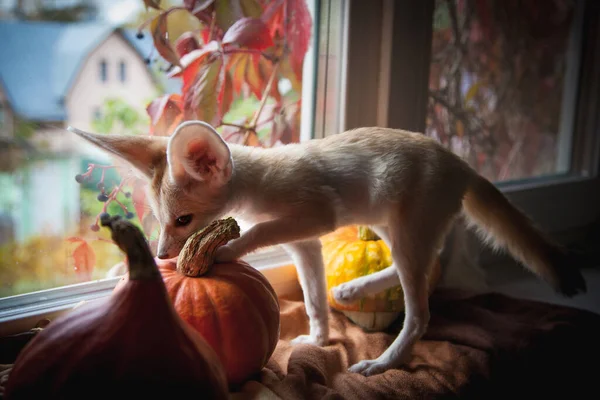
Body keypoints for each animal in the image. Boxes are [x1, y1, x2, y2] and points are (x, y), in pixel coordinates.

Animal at [69, 120, 584, 376]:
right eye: (162, 222)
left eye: (183, 221)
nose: (161, 257)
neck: (261, 183)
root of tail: (463, 164)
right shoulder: (305, 243)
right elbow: (315, 299)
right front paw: (317, 340)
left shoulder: (314, 218)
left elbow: (255, 236)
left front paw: (224, 253)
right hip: (394, 229)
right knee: (427, 271)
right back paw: (355, 290)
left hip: (404, 233)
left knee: (420, 314)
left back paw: (384, 362)